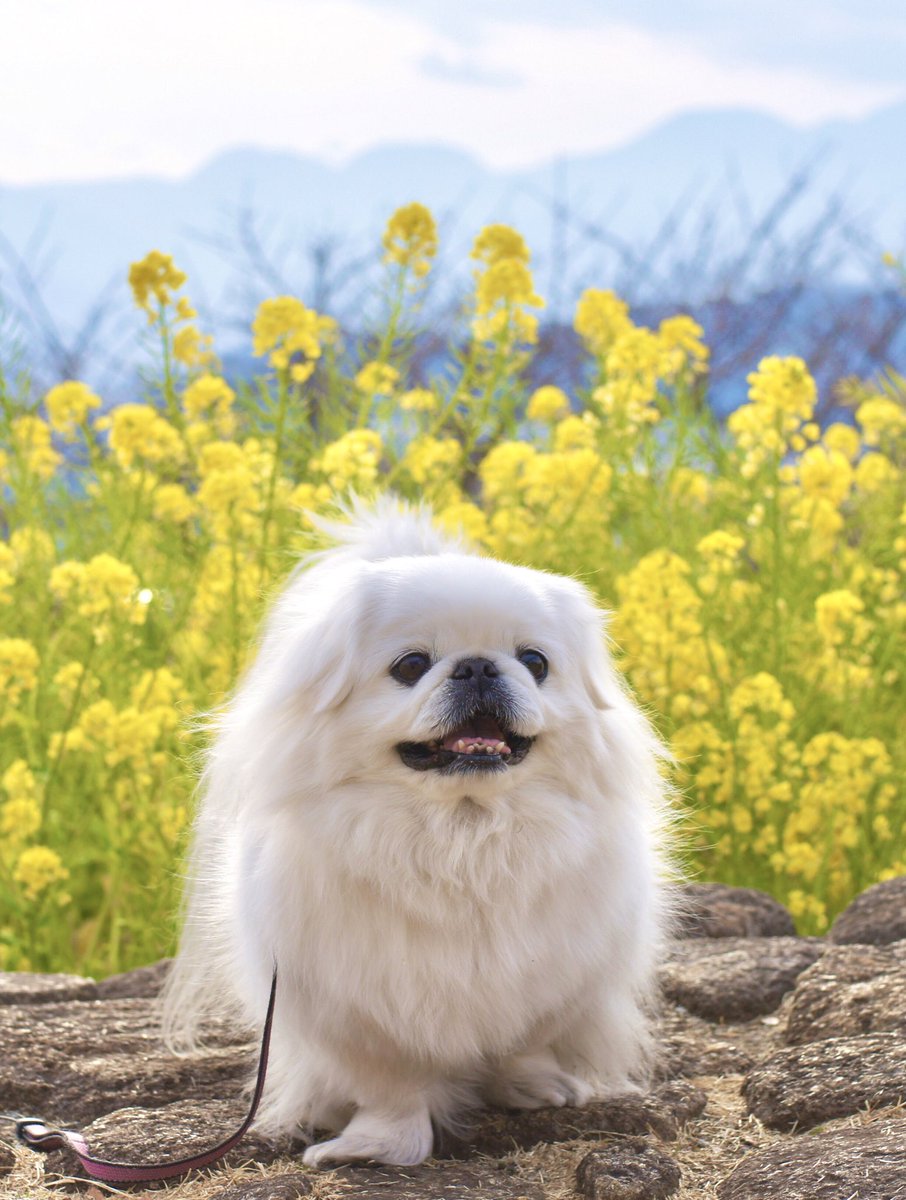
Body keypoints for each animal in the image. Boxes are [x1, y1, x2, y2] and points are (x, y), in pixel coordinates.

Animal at [164, 494, 672, 1161]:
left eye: (535, 662)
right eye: (411, 665)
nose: (478, 666)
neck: (462, 836)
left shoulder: (555, 976)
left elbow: (524, 1041)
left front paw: (534, 1085)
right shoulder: (352, 1008)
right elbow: (392, 1087)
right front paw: (375, 1146)